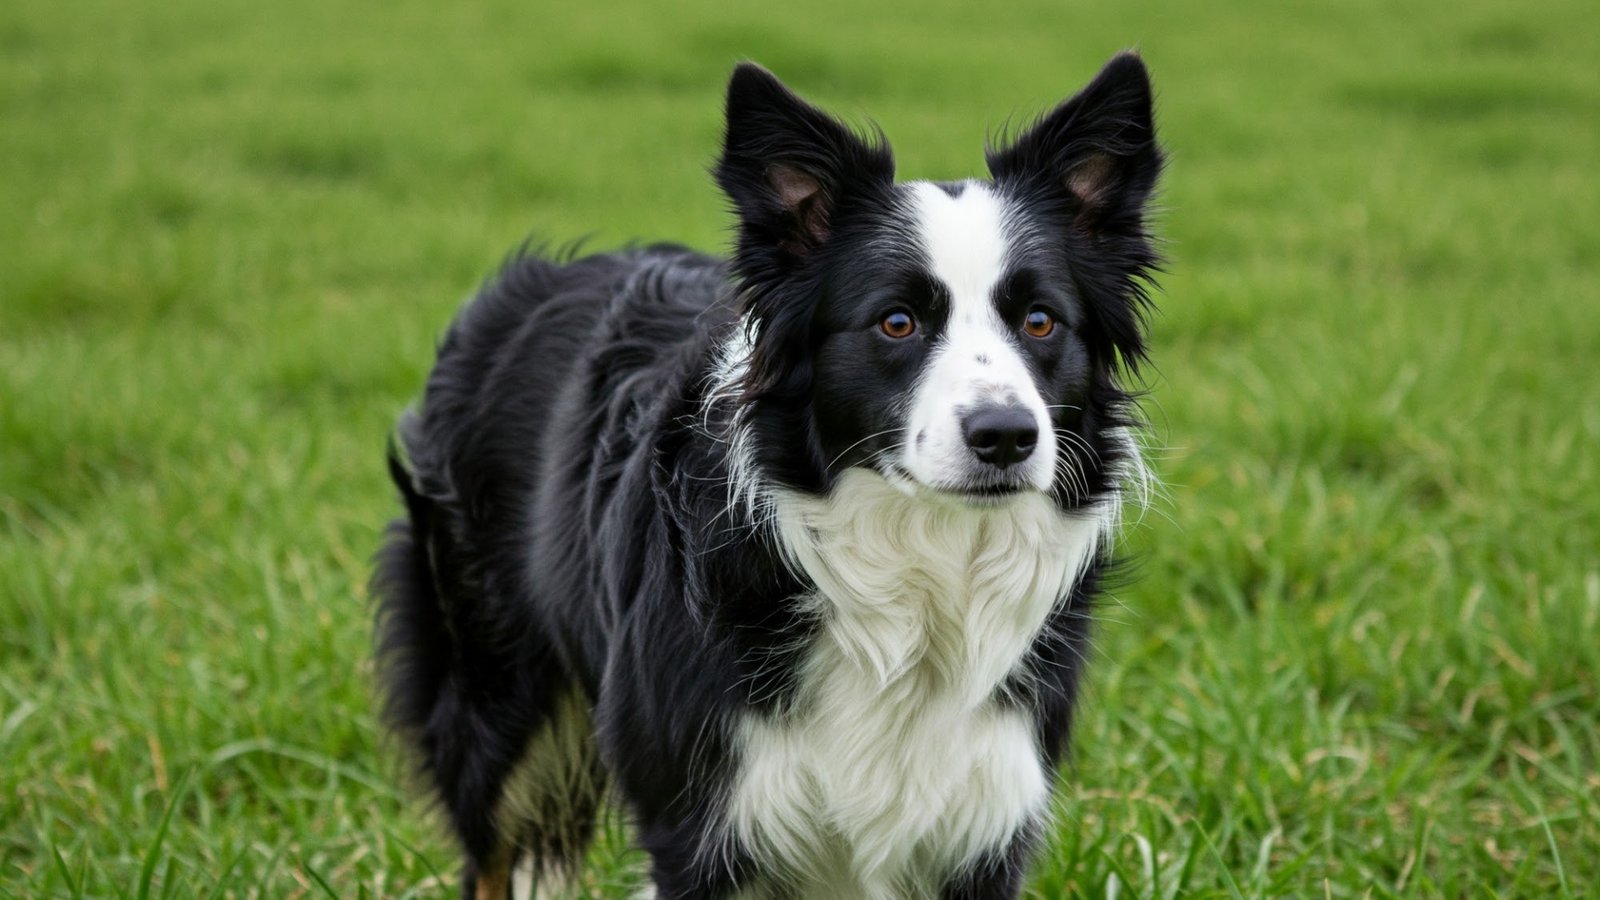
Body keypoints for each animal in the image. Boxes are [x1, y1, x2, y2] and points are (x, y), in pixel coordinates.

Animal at [374, 52, 1164, 890]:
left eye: (1040, 321)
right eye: (897, 322)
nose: (1006, 436)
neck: (917, 572)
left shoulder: (983, 820)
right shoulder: (699, 820)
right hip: (494, 699)